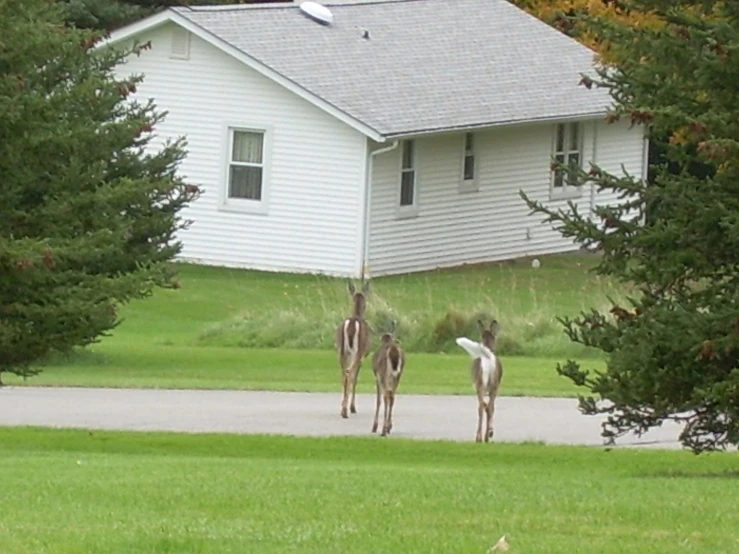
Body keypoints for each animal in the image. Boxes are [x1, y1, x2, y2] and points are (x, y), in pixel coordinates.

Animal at [334, 280, 370, 418]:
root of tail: (351, 324)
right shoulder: (362, 357)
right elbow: (356, 379)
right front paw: (353, 407)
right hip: (357, 352)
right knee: (350, 375)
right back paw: (346, 411)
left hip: (341, 351)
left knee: (344, 375)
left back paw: (342, 409)